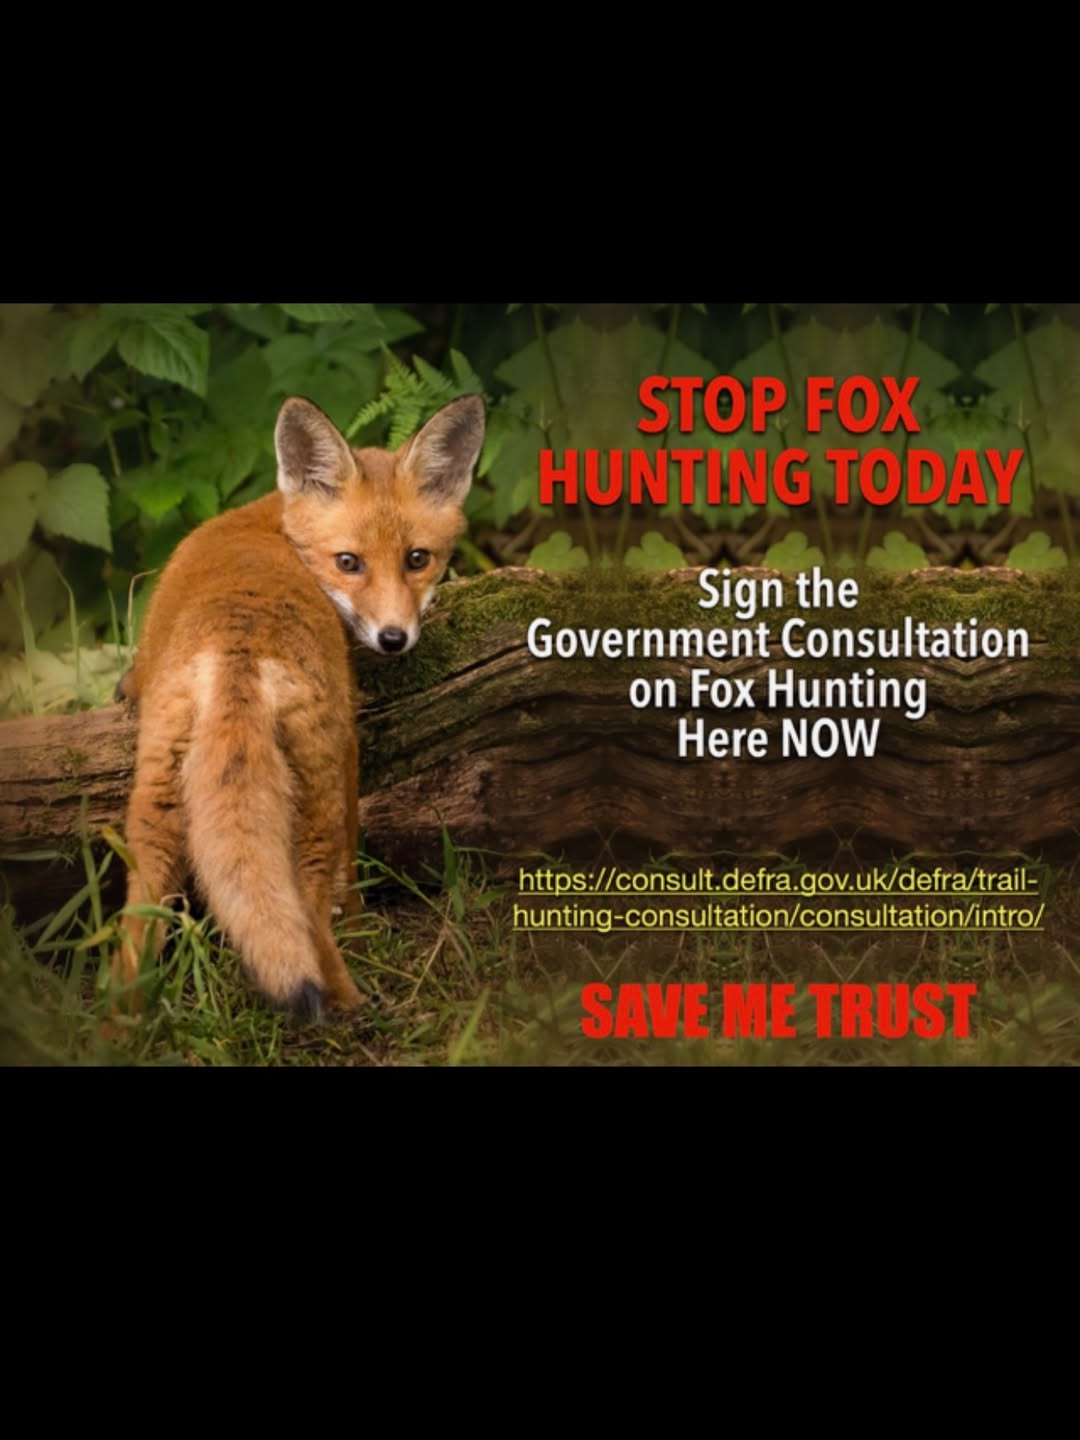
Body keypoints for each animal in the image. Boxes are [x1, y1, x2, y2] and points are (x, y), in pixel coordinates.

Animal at [114, 392, 485, 1023]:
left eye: (417, 559)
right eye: (349, 562)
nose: (393, 638)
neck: (274, 525)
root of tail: (237, 647)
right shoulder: (349, 743)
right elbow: (352, 869)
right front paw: (361, 929)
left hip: (156, 803)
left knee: (137, 927)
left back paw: (118, 1028)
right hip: (315, 796)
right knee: (309, 913)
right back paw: (348, 1003)